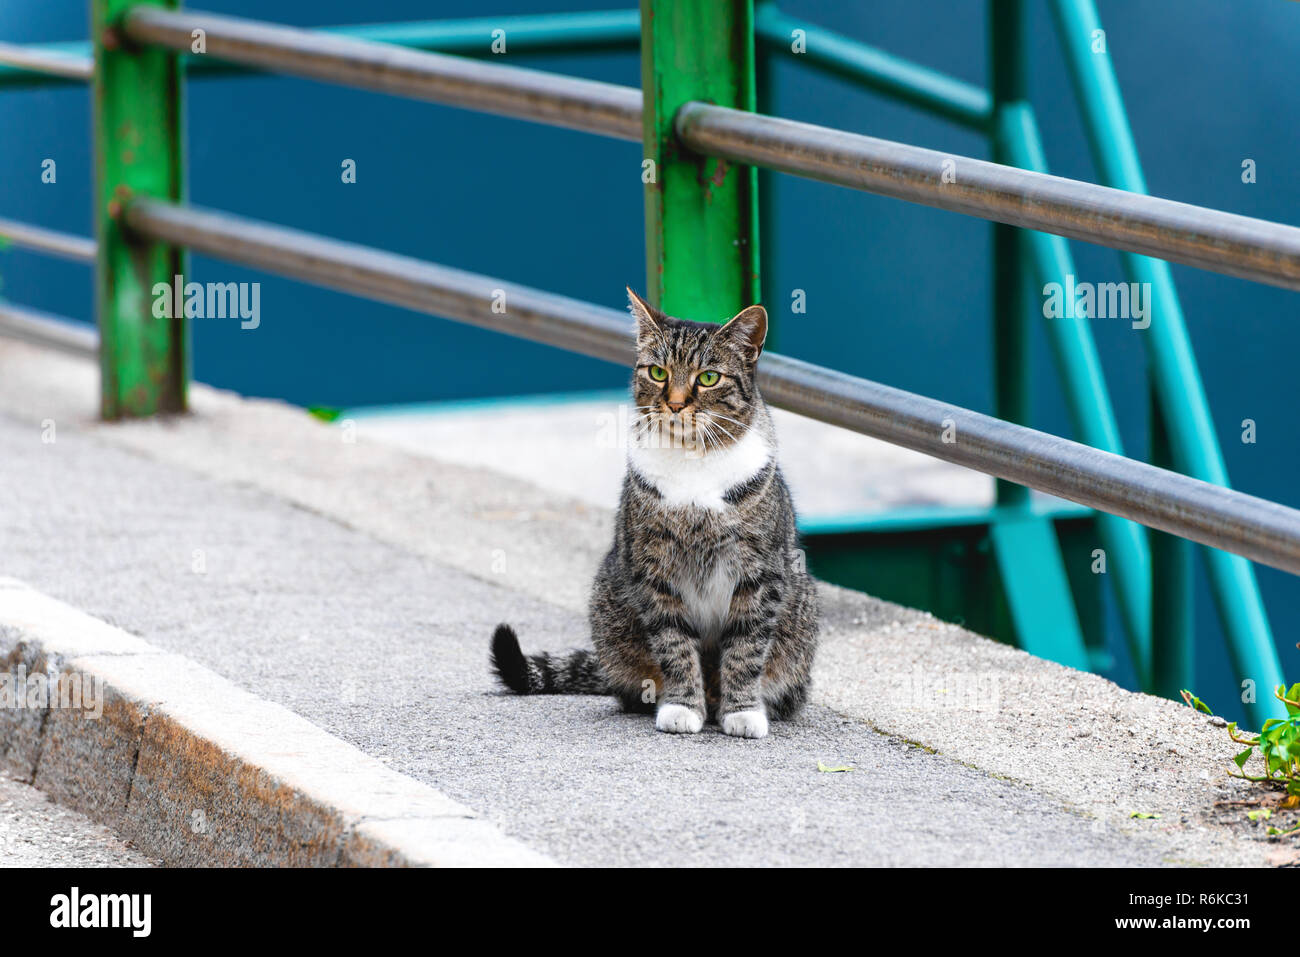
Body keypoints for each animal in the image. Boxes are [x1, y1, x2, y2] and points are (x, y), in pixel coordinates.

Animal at [491, 287, 816, 738]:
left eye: (708, 377)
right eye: (658, 373)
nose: (675, 405)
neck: (694, 458)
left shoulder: (760, 574)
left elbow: (746, 648)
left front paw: (742, 711)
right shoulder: (653, 569)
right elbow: (674, 645)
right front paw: (682, 706)